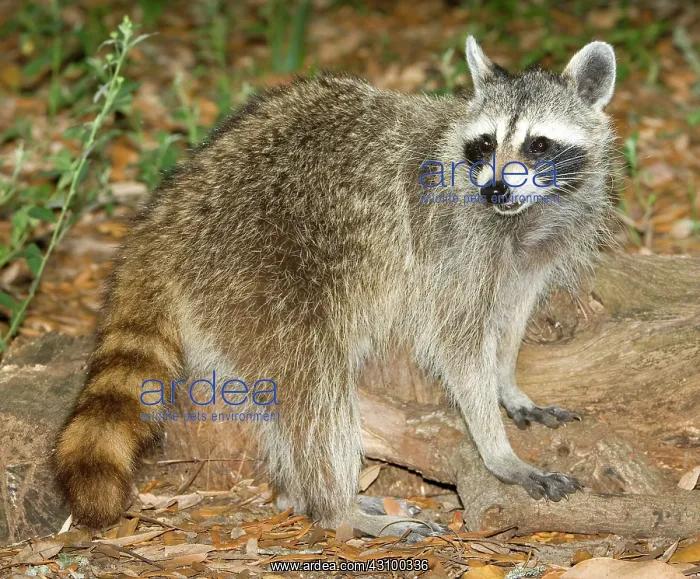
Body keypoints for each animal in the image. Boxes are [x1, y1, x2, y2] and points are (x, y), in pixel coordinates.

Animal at [54, 37, 617, 538]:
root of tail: (161, 221)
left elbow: (511, 318)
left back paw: (306, 494)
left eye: (538, 144)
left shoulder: (532, 253)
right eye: (484, 143)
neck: (523, 217)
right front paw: (498, 452)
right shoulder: (451, 242)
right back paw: (334, 505)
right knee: (314, 382)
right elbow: (458, 345)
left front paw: (507, 383)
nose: (496, 186)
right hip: (256, 266)